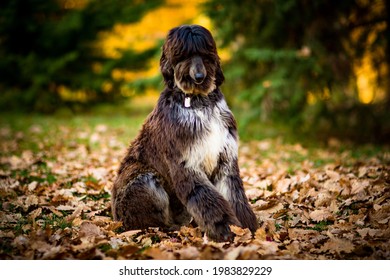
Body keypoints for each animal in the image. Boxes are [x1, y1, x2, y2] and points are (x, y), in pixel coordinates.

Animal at [112, 24, 258, 243]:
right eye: (183, 55)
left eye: (205, 53)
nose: (199, 77)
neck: (199, 103)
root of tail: (114, 217)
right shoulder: (186, 162)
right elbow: (206, 199)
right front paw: (224, 228)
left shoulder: (225, 158)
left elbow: (234, 196)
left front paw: (247, 227)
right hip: (143, 181)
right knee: (150, 222)